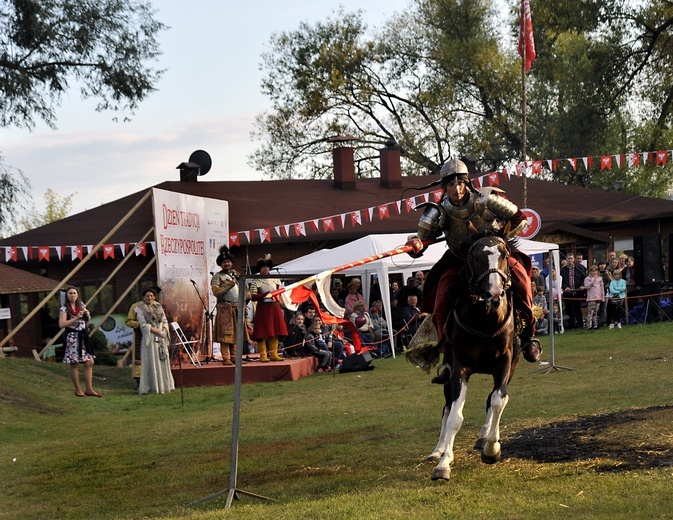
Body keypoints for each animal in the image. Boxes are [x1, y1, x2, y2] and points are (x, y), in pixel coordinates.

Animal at [428, 235, 516, 480]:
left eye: (504, 255)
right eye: (476, 258)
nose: (494, 294)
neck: (485, 320)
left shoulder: (504, 364)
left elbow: (498, 401)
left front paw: (491, 449)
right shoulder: (460, 368)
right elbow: (454, 417)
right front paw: (444, 463)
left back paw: (484, 437)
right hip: (448, 376)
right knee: (447, 408)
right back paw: (438, 450)